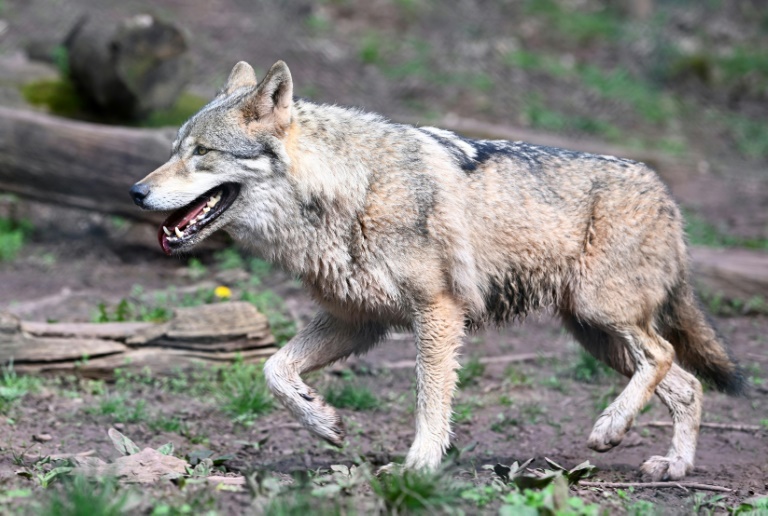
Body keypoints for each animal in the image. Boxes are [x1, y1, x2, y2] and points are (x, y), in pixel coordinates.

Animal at [130, 62, 744, 482]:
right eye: (174, 148)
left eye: (202, 152)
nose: (136, 191)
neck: (353, 192)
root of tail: (666, 194)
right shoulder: (357, 321)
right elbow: (274, 370)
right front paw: (324, 421)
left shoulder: (439, 313)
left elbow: (430, 399)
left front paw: (420, 464)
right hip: (595, 335)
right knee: (687, 384)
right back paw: (672, 466)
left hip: (603, 317)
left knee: (664, 357)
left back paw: (609, 430)